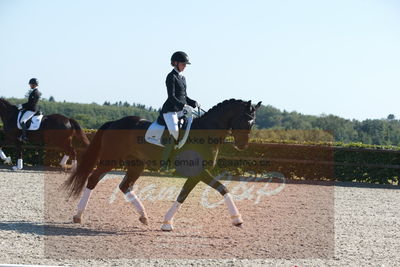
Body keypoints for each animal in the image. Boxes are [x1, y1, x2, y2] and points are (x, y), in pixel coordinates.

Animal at [64, 99, 260, 231]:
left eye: (253, 123)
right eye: (245, 121)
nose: (242, 146)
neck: (205, 132)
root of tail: (115, 122)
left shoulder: (197, 173)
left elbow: (185, 194)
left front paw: (166, 222)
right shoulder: (198, 172)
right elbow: (220, 189)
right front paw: (237, 219)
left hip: (136, 164)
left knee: (125, 185)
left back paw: (143, 216)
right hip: (110, 160)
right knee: (93, 179)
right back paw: (78, 215)